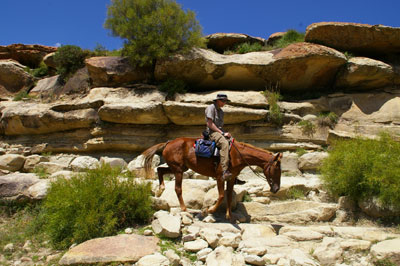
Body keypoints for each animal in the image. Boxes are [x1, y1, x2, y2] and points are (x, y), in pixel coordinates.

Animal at [142, 137, 282, 220]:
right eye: (276, 169)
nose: (276, 189)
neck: (237, 155)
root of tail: (168, 143)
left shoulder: (231, 178)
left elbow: (229, 195)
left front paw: (229, 215)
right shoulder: (220, 177)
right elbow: (221, 196)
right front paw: (208, 210)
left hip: (180, 168)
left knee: (160, 170)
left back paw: (160, 189)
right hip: (178, 170)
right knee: (178, 189)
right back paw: (184, 208)